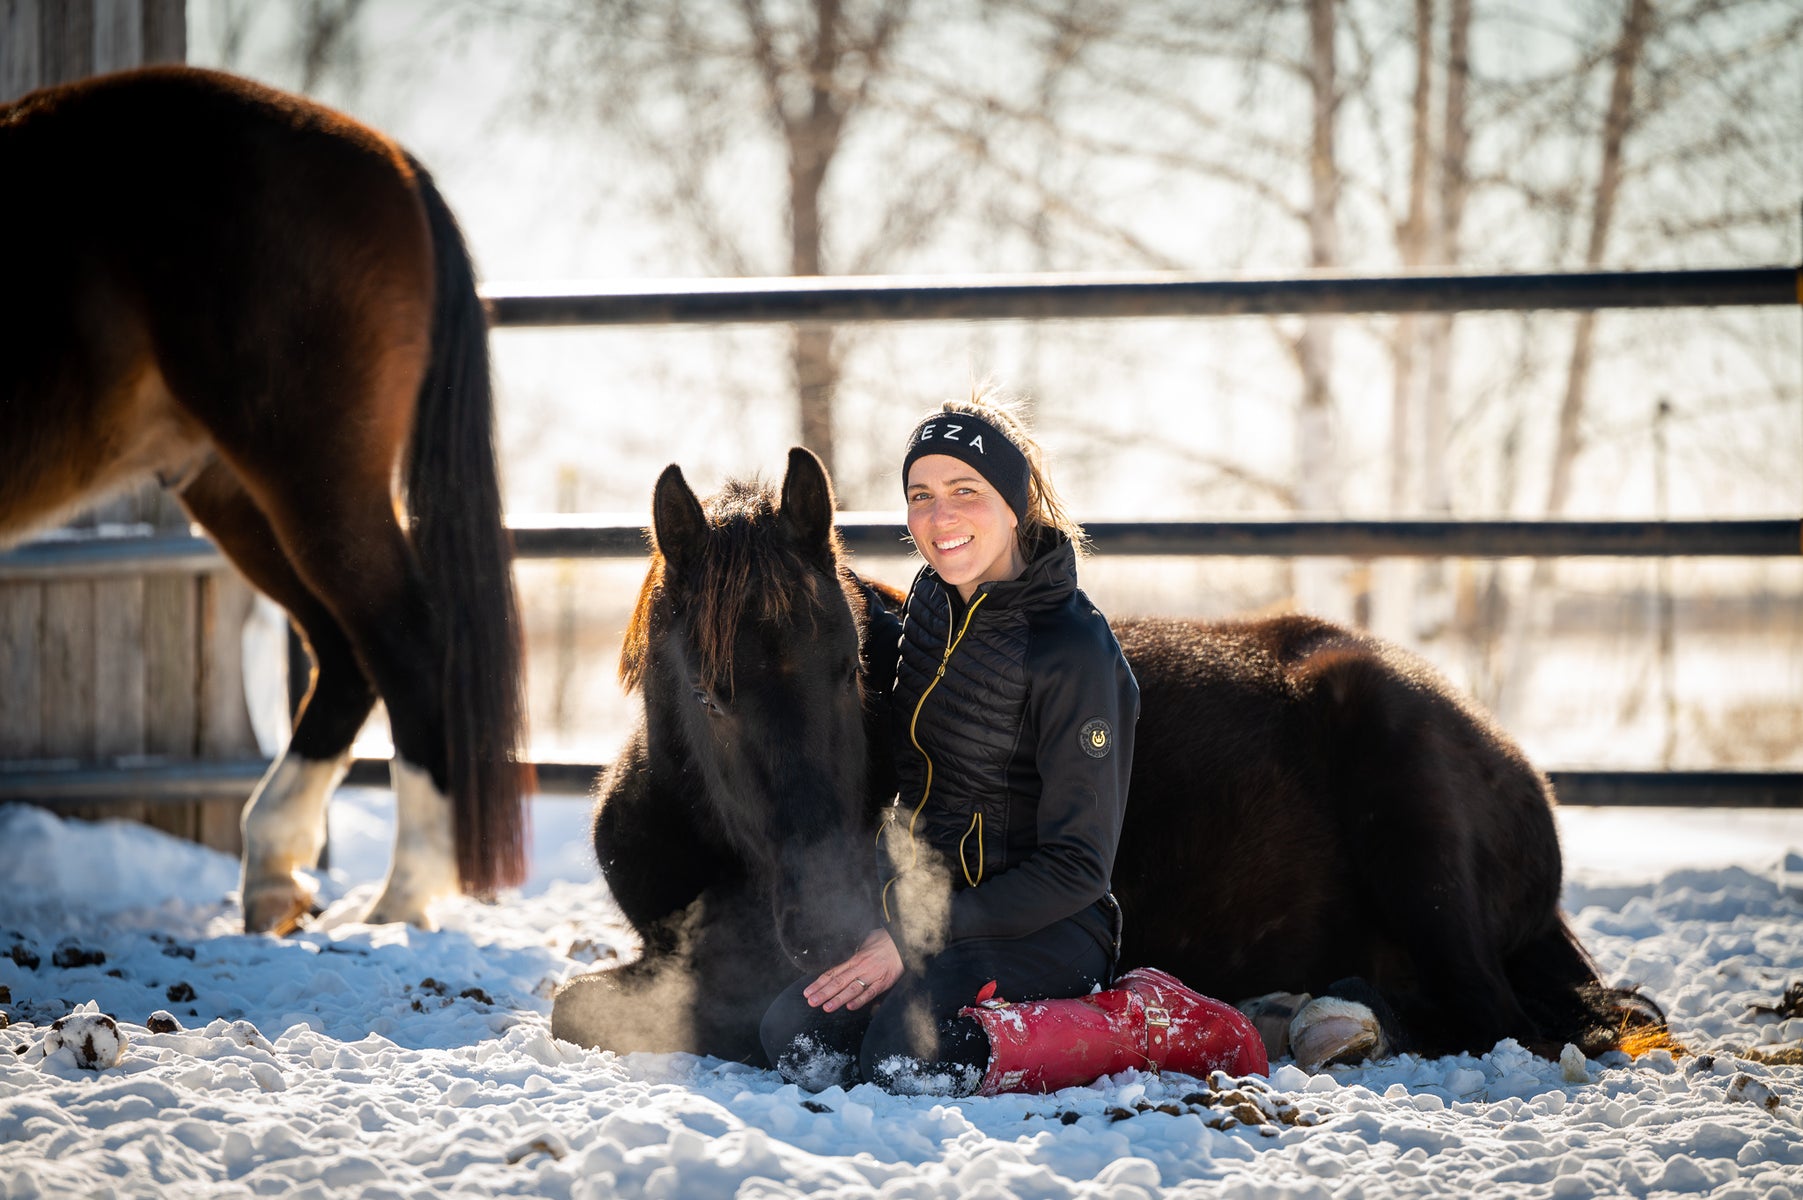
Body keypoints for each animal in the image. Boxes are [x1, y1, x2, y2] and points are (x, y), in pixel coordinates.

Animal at [1, 67, 531, 933]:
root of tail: (395, 163)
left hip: (311, 478)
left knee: (405, 644)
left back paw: (400, 897)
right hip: (239, 493)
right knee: (344, 655)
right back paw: (277, 870)